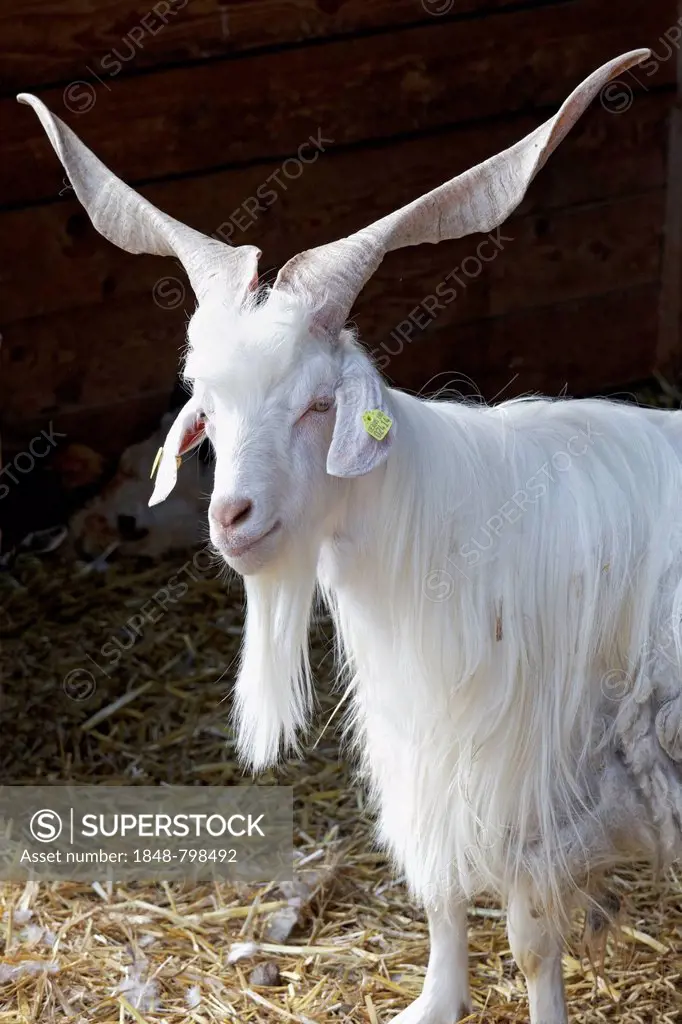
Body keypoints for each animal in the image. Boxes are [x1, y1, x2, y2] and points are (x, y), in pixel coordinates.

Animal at [19, 49, 675, 1024]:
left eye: (318, 404)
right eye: (205, 413)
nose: (231, 517)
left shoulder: (526, 780)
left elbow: (531, 944)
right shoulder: (427, 753)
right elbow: (441, 899)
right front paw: (432, 1001)